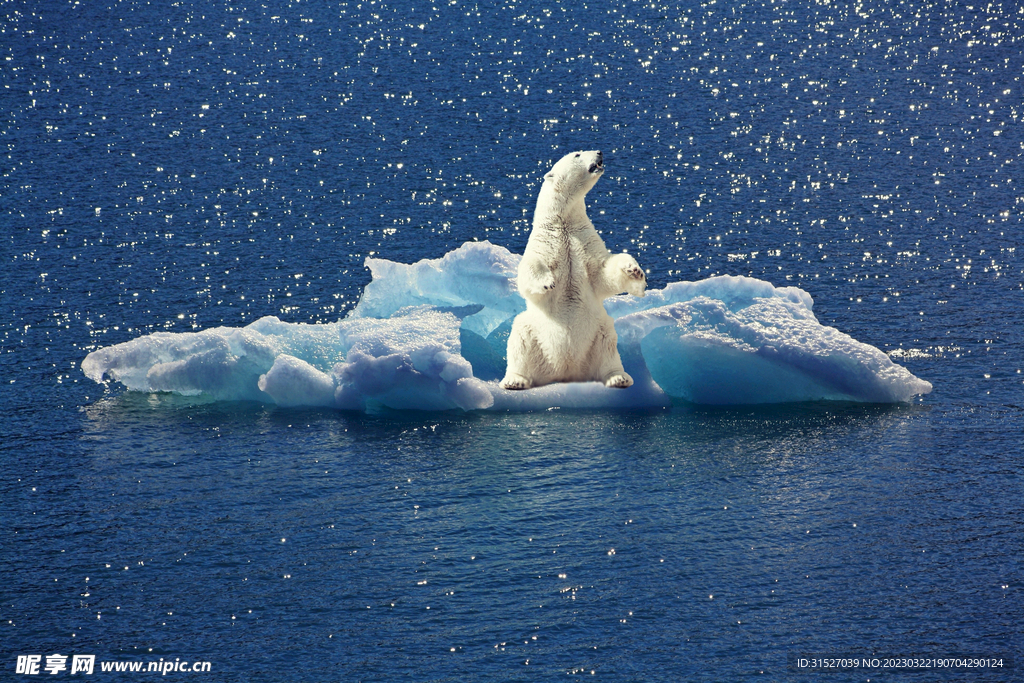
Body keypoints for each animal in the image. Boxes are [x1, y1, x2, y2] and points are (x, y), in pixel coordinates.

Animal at [497, 152, 647, 393]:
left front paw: (634, 271)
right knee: (519, 339)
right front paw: (547, 282)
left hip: (598, 331)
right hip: (533, 331)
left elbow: (602, 272)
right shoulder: (545, 241)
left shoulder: (584, 240)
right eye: (577, 154)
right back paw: (515, 380)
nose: (599, 152)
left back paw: (618, 378)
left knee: (608, 346)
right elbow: (530, 267)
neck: (563, 222)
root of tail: (566, 371)